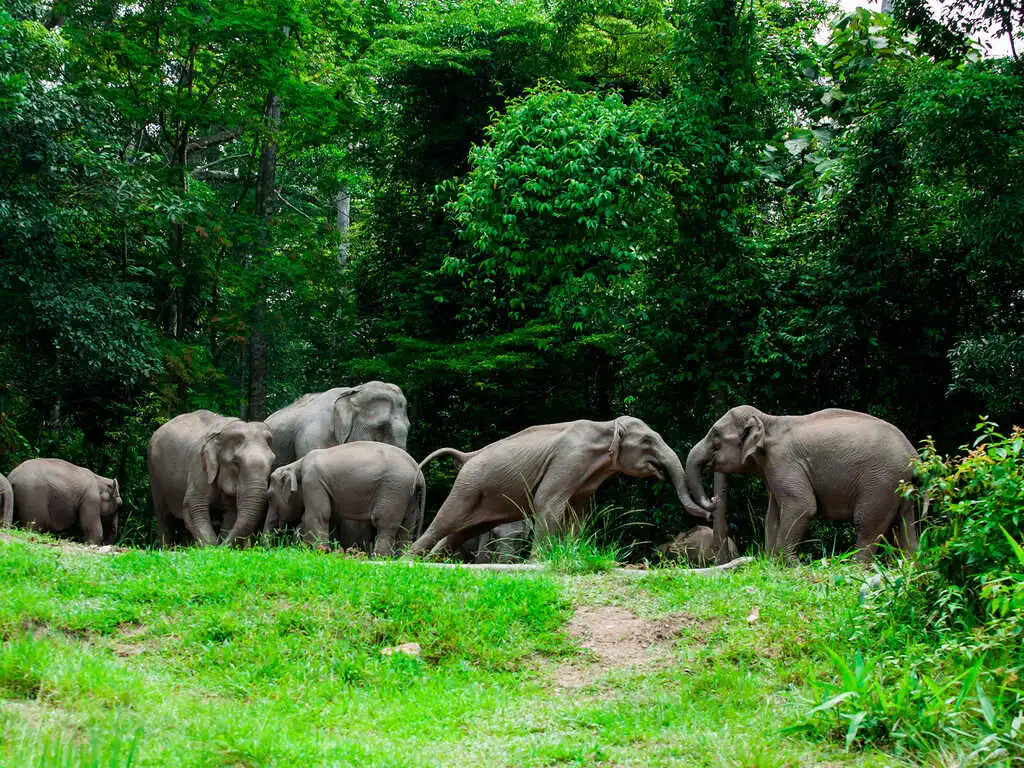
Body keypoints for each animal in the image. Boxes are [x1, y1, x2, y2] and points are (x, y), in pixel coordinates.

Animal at [147, 409, 276, 548]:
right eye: (235, 462)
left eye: (272, 462)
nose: (223, 545)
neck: (221, 435)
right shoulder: (200, 467)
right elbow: (193, 506)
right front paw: (213, 547)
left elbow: (231, 513)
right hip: (155, 475)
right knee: (164, 518)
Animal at [266, 442, 425, 557]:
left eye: (270, 496)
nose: (268, 549)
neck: (296, 464)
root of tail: (419, 473)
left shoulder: (312, 481)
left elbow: (319, 515)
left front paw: (320, 552)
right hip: (409, 496)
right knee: (407, 527)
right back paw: (401, 558)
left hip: (395, 490)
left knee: (384, 523)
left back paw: (380, 557)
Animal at [407, 415, 712, 561]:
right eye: (648, 441)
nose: (712, 507)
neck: (605, 426)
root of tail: (467, 456)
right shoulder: (569, 460)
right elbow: (547, 503)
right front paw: (537, 562)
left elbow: (579, 513)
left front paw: (573, 550)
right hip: (468, 487)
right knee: (444, 523)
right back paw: (406, 561)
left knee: (458, 533)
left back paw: (428, 562)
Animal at [684, 409, 917, 565]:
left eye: (715, 436)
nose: (713, 500)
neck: (768, 420)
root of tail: (913, 453)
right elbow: (772, 516)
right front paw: (772, 564)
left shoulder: (785, 462)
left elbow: (802, 507)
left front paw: (789, 565)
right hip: (899, 486)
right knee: (906, 525)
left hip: (881, 482)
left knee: (867, 524)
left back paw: (855, 568)